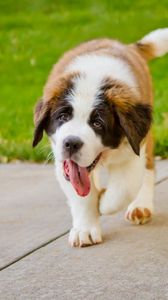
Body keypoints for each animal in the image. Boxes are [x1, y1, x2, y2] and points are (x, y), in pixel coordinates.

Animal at [32, 29, 168, 247]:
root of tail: (128, 47)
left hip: (145, 138)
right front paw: (85, 229)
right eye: (63, 117)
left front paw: (103, 199)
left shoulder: (133, 149)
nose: (71, 143)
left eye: (97, 123)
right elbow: (81, 196)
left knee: (147, 168)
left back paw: (141, 205)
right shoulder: (62, 161)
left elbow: (121, 190)